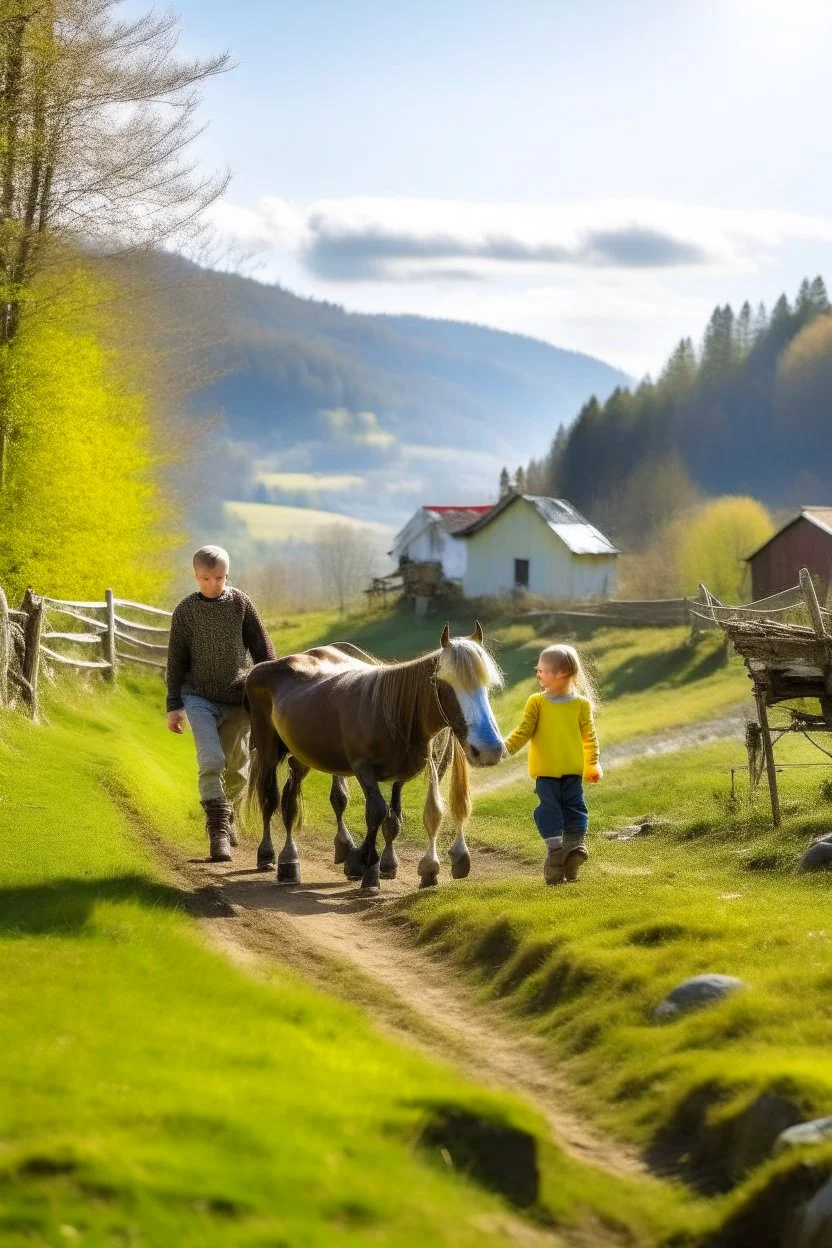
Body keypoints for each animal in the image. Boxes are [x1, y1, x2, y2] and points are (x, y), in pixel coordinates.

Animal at [246, 621, 503, 893]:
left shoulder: (400, 776)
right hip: (267, 750)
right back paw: (270, 855)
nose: (489, 749)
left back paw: (292, 859)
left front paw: (381, 865)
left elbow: (393, 818)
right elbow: (376, 813)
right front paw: (364, 866)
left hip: (303, 756)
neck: (392, 712)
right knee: (270, 797)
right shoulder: (364, 770)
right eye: (443, 683)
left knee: (290, 799)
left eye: (487, 685)